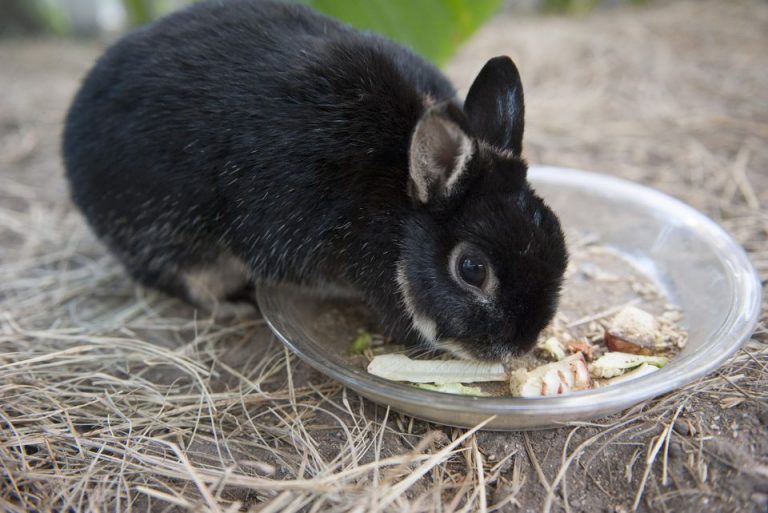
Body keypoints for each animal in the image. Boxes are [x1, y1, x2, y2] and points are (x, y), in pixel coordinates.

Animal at [63, 0, 568, 361]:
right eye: (471, 269)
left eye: (557, 237)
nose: (520, 346)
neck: (396, 204)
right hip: (169, 234)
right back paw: (230, 307)